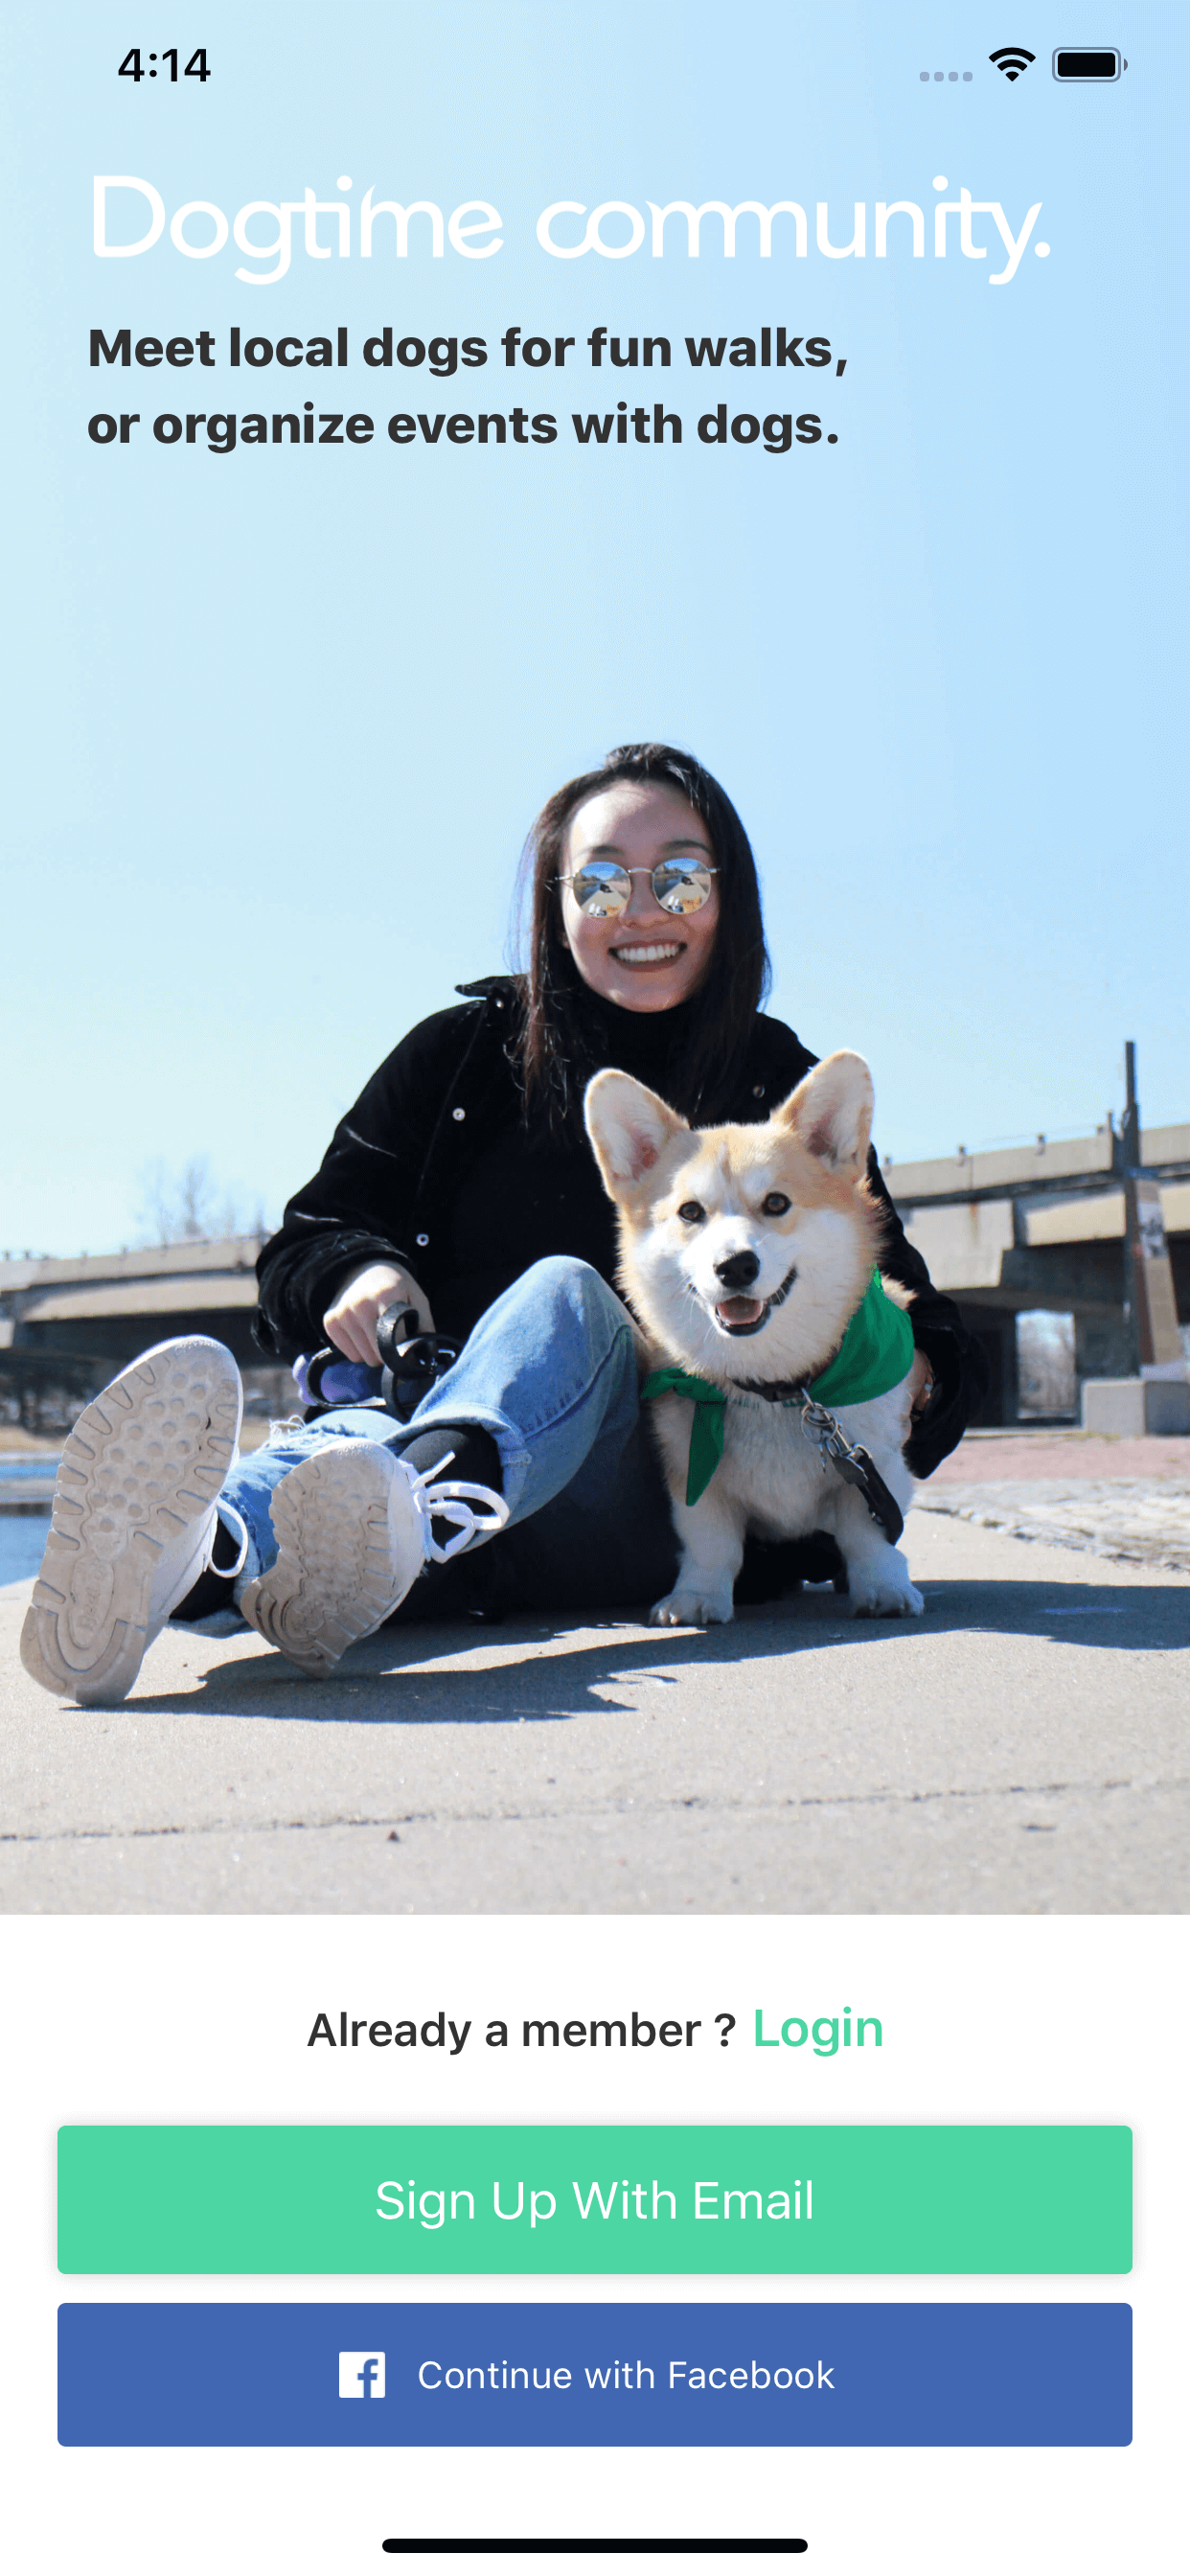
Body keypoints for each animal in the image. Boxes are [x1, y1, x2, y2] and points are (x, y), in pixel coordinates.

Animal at [584, 1050, 925, 1628]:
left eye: (777, 1203)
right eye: (690, 1212)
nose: (735, 1266)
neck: (776, 1387)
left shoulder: (872, 1466)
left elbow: (870, 1536)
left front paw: (883, 1588)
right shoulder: (694, 1478)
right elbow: (710, 1544)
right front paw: (697, 1597)